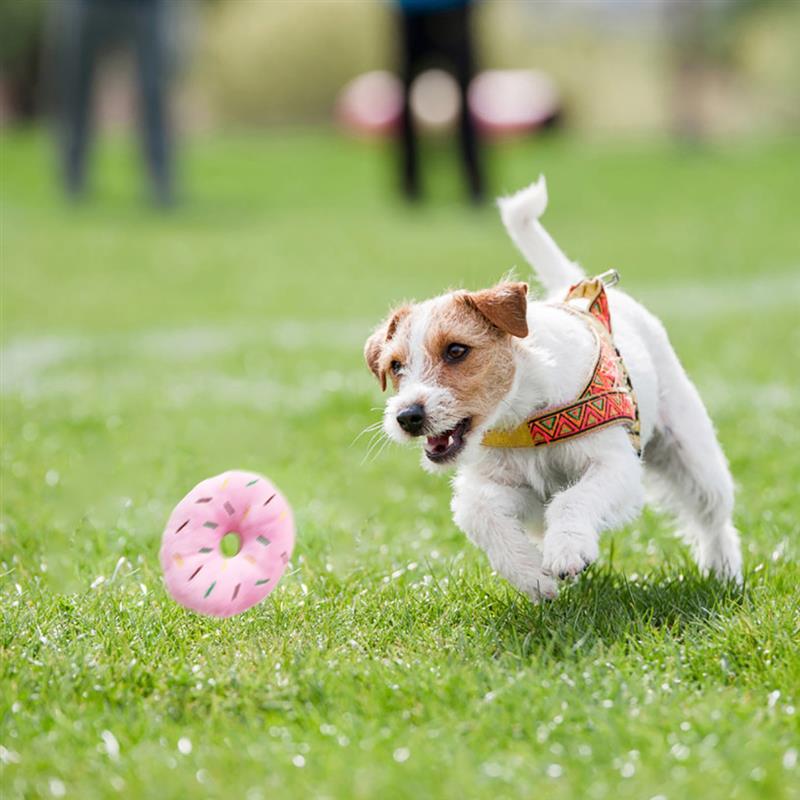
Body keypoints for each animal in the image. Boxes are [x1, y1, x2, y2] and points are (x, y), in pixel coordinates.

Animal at [366, 177, 740, 600]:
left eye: (457, 350)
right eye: (395, 366)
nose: (407, 416)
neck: (524, 414)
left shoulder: (615, 466)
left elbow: (572, 500)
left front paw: (567, 551)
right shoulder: (509, 486)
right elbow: (479, 513)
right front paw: (532, 575)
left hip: (693, 454)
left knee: (714, 517)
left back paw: (724, 571)